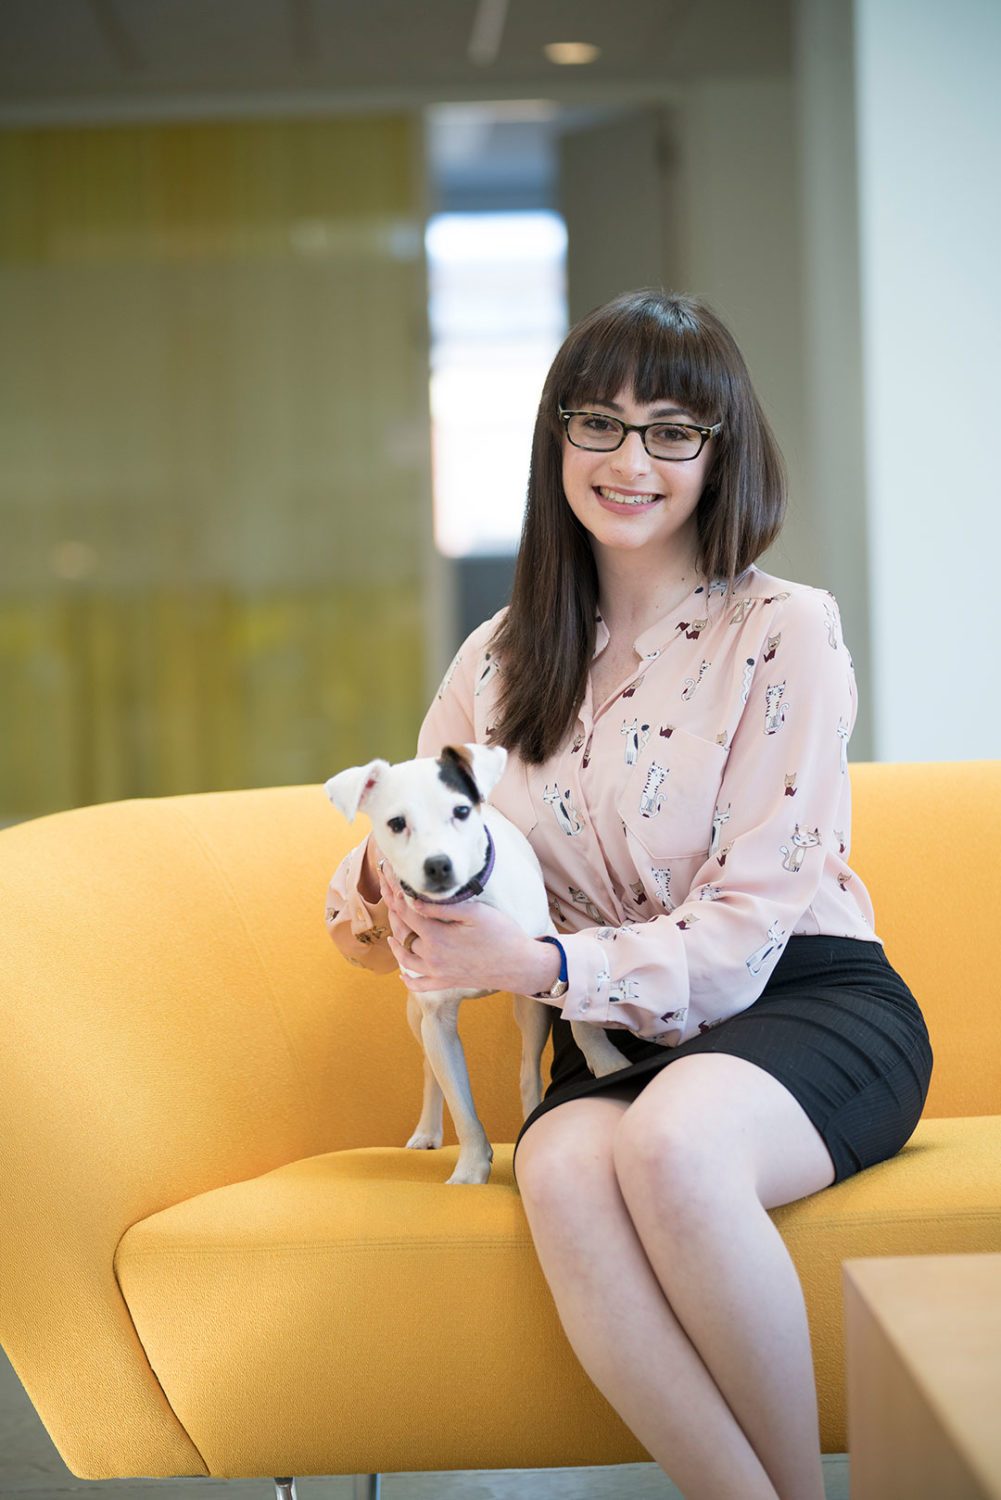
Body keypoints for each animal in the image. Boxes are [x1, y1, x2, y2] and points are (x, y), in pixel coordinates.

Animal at [325, 738, 630, 1182]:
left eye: (461, 811)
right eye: (397, 823)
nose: (438, 864)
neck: (465, 906)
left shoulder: (550, 956)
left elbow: (580, 1017)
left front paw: (609, 1066)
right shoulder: (436, 1020)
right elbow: (460, 1104)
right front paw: (471, 1168)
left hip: (530, 1010)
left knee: (527, 1071)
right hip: (416, 1017)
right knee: (430, 1071)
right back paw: (427, 1131)